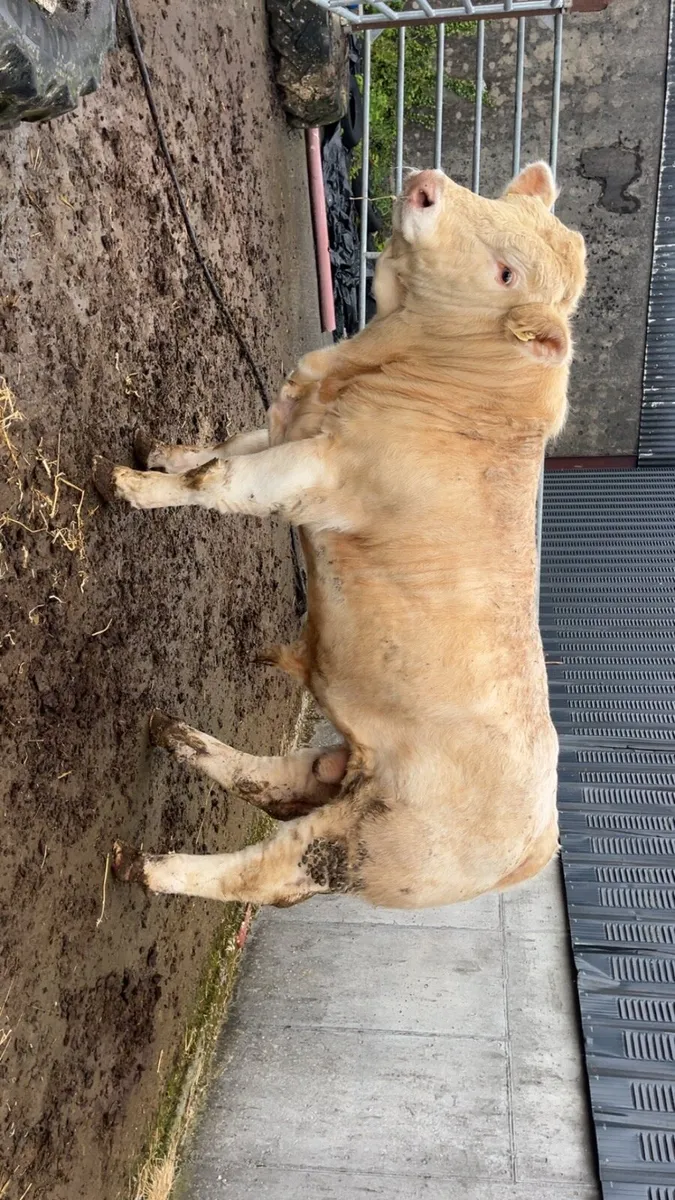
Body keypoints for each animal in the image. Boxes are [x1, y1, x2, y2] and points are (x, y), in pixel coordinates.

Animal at [93, 162, 586, 911]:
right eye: (488, 198)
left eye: (506, 274)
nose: (427, 183)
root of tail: (534, 849)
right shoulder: (290, 428)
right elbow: (218, 449)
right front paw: (159, 452)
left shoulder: (314, 472)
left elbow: (220, 479)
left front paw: (129, 485)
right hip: (338, 766)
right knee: (270, 781)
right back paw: (175, 737)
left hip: (367, 843)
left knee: (266, 874)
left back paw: (146, 866)